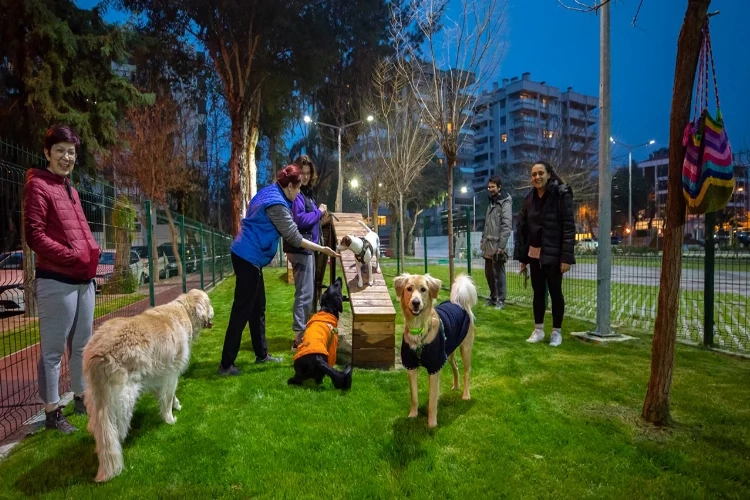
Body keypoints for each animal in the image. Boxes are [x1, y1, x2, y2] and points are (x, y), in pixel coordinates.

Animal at [85, 288, 214, 482]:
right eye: (209, 303)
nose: (214, 311)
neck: (183, 309)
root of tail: (98, 351)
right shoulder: (171, 375)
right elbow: (167, 399)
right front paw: (170, 419)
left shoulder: (159, 376)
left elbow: (168, 396)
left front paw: (176, 405)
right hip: (124, 398)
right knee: (115, 431)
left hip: (95, 400)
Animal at [394, 272, 476, 428]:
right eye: (409, 289)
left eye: (423, 289)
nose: (415, 302)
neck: (419, 330)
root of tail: (458, 302)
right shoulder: (411, 366)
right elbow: (414, 396)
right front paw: (412, 415)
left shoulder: (435, 367)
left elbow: (432, 400)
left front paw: (432, 423)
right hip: (449, 352)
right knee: (456, 367)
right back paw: (455, 386)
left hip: (465, 349)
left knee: (466, 372)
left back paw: (465, 394)